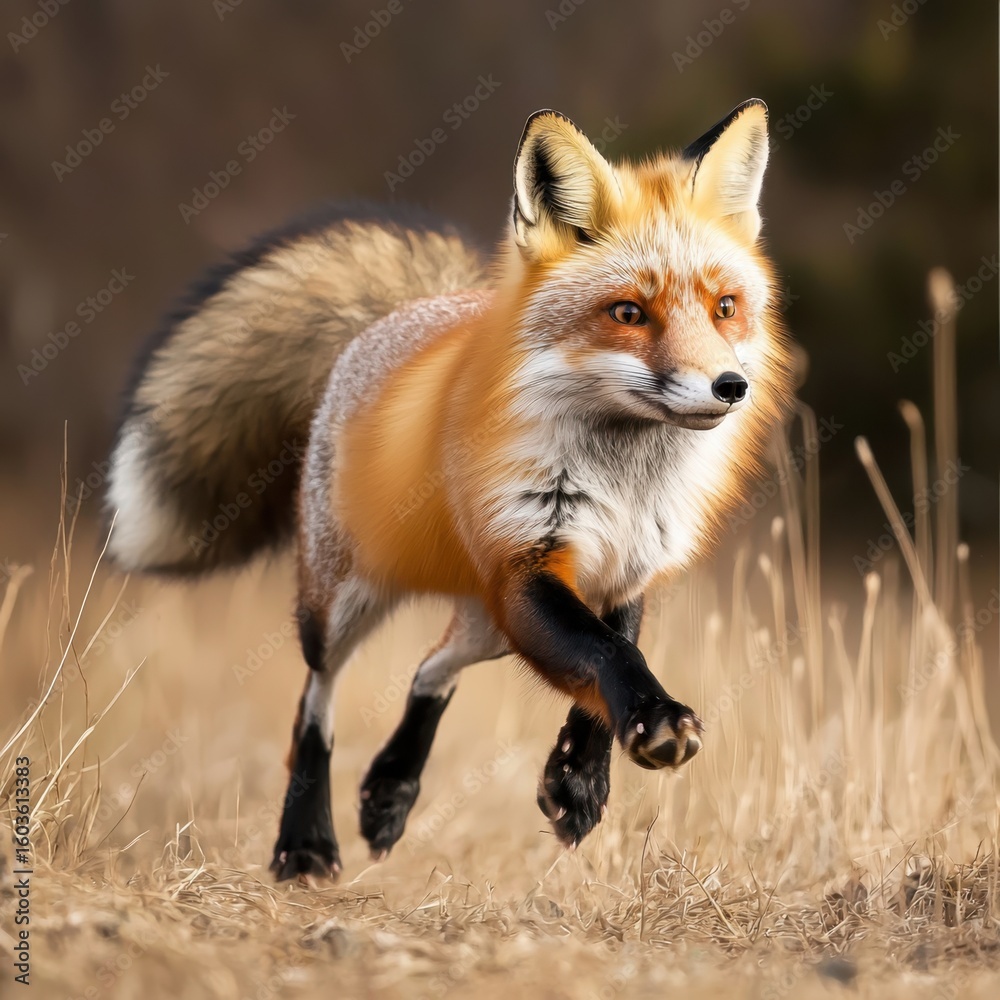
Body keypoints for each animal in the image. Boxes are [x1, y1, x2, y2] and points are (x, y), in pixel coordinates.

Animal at [106, 99, 794, 880]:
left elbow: (609, 659)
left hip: (484, 621)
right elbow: (607, 656)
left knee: (429, 668)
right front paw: (647, 725)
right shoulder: (526, 565)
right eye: (627, 314)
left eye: (725, 306)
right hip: (345, 600)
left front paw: (578, 780)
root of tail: (415, 312)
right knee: (317, 698)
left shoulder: (621, 572)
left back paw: (391, 789)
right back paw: (305, 842)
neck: (624, 480)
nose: (730, 386)